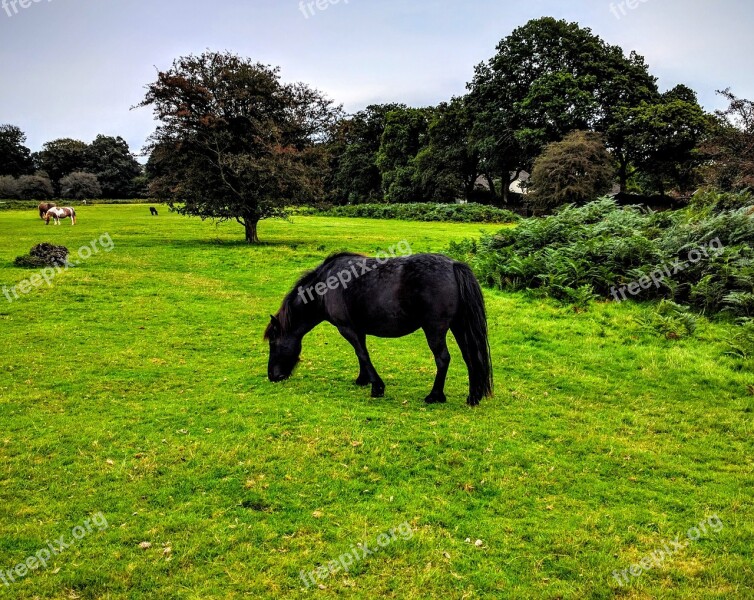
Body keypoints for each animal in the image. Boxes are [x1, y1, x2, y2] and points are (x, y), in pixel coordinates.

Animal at [264, 251, 494, 406]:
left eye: (273, 343)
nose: (273, 376)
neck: (326, 285)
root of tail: (453, 264)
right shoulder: (358, 329)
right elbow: (361, 354)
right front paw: (363, 379)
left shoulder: (347, 328)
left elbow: (362, 354)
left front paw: (377, 387)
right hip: (459, 326)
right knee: (471, 357)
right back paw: (473, 396)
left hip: (434, 330)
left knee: (443, 359)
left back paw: (435, 396)